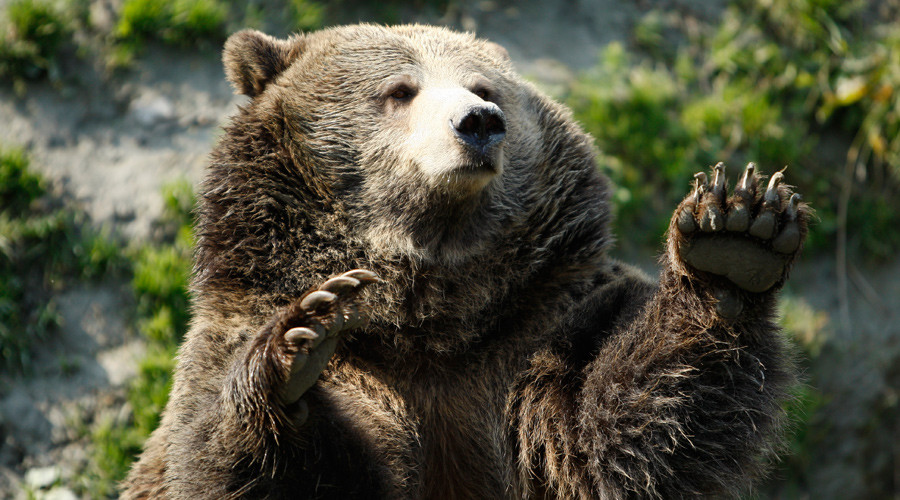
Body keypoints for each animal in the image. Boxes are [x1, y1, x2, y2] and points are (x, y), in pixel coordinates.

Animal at [121, 24, 810, 499]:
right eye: (399, 91)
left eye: (483, 86)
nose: (479, 122)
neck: (430, 317)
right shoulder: (245, 338)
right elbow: (230, 461)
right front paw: (298, 340)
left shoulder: (533, 334)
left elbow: (616, 439)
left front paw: (734, 240)